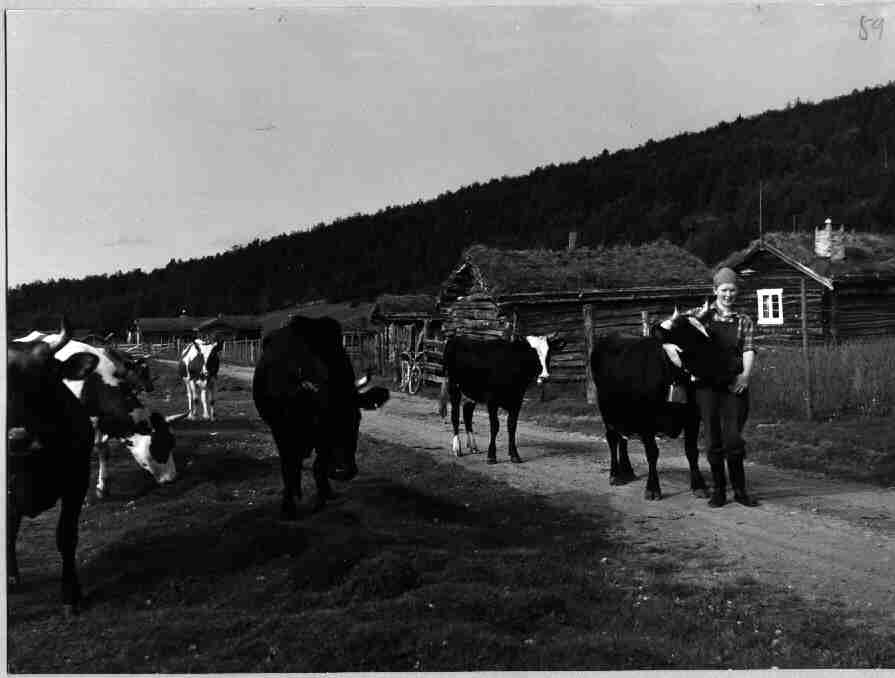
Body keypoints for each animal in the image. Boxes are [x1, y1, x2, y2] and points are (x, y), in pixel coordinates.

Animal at [15, 334, 182, 500]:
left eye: (172, 442)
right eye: (159, 446)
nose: (172, 478)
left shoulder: (101, 423)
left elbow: (103, 450)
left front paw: (102, 487)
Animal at [254, 318, 390, 520]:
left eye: (358, 418)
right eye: (322, 419)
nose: (343, 471)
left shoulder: (323, 444)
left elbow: (319, 467)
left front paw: (322, 498)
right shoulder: (281, 432)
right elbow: (288, 467)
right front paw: (288, 508)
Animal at [440, 336, 568, 468]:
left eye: (549, 353)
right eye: (532, 353)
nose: (544, 377)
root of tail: (456, 338)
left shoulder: (517, 401)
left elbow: (512, 426)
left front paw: (514, 455)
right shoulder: (492, 401)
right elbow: (495, 426)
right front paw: (491, 456)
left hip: (471, 392)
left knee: (467, 415)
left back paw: (473, 446)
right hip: (454, 386)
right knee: (455, 415)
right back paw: (457, 448)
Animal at [592, 310, 740, 502]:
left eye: (712, 336)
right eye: (693, 341)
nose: (736, 365)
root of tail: (612, 335)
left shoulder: (692, 416)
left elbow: (691, 451)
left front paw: (699, 486)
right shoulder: (646, 420)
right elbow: (652, 453)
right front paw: (653, 488)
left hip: (625, 411)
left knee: (623, 438)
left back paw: (628, 471)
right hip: (606, 407)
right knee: (612, 437)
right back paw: (615, 474)